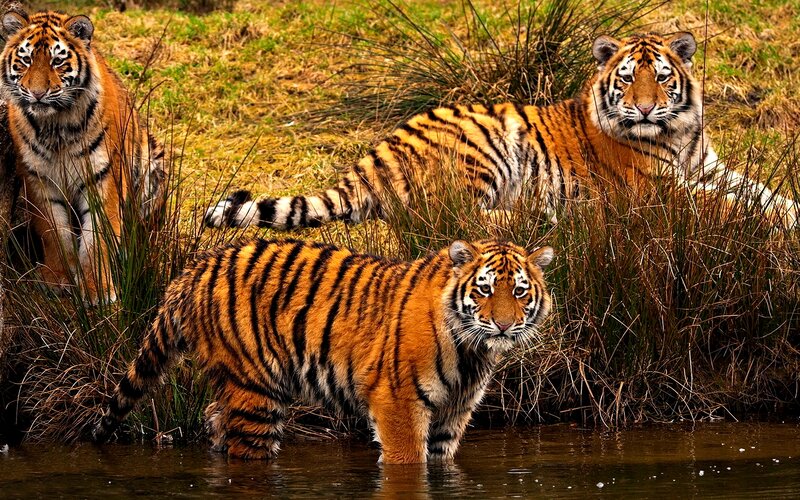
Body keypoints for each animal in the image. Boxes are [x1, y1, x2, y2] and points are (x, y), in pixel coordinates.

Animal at [0, 9, 168, 303]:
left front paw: (97, 291)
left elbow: (98, 239)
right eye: (26, 60)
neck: (55, 125)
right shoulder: (38, 179)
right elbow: (53, 232)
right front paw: (58, 280)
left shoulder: (104, 178)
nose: (37, 94)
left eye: (57, 61)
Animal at [92, 238, 554, 463]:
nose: (504, 325)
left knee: (214, 421)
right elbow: (408, 462)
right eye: (485, 289)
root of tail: (194, 269)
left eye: (518, 291)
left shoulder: (452, 413)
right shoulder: (398, 403)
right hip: (255, 393)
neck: (471, 351)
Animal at [205, 31, 798, 231]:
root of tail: (371, 156)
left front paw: (788, 210)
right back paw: (544, 213)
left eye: (663, 78)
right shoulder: (657, 188)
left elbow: (763, 192)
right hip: (486, 145)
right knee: (455, 216)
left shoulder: (709, 166)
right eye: (628, 79)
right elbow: (725, 204)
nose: (648, 110)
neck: (677, 132)